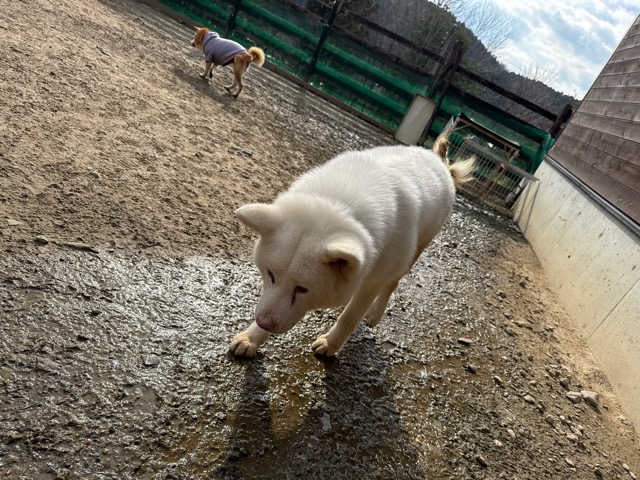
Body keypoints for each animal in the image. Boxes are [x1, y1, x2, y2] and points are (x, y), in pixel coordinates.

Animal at [229, 140, 474, 357]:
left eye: (302, 289)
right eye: (270, 275)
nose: (263, 322)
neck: (339, 204)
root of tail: (436, 159)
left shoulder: (374, 280)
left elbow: (350, 317)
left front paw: (330, 344)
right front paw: (252, 338)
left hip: (415, 250)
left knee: (393, 283)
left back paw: (375, 313)